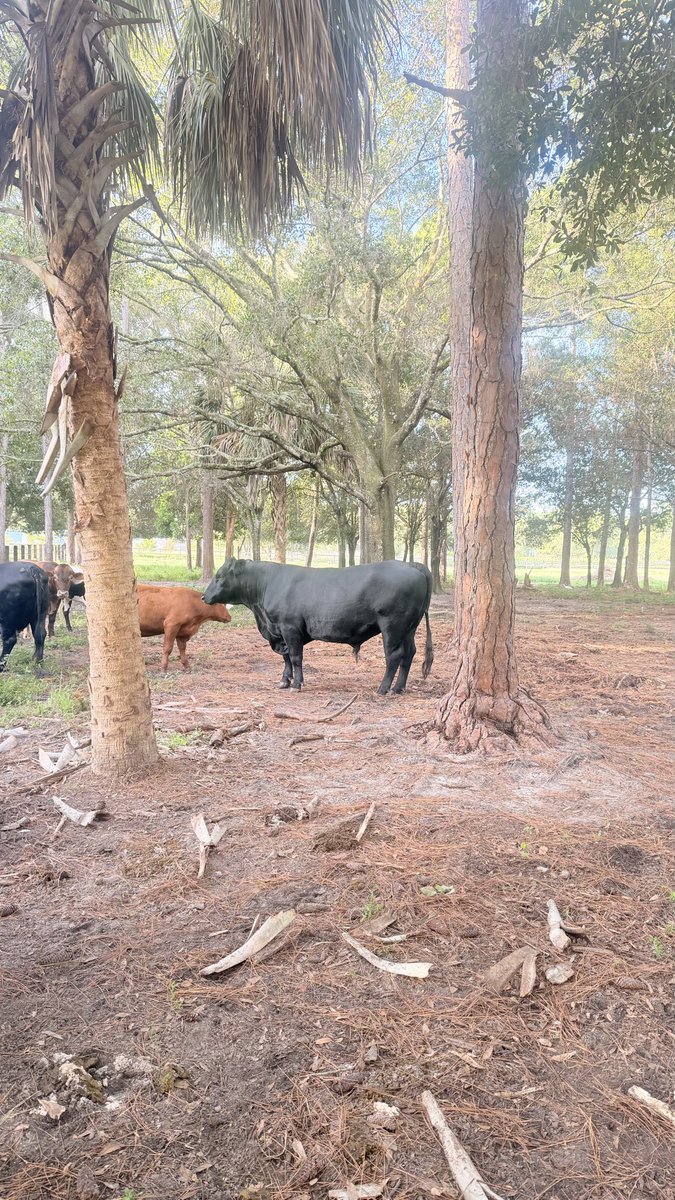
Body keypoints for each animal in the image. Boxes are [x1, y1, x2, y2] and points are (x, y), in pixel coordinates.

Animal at [202, 558, 434, 694]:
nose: (204, 597)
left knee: (394, 656)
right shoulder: (280, 632)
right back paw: (398, 688)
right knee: (409, 654)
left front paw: (296, 684)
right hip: (409, 628)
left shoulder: (290, 628)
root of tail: (414, 565)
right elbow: (286, 658)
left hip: (392, 626)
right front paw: (284, 681)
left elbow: (295, 657)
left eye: (219, 576)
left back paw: (383, 688)